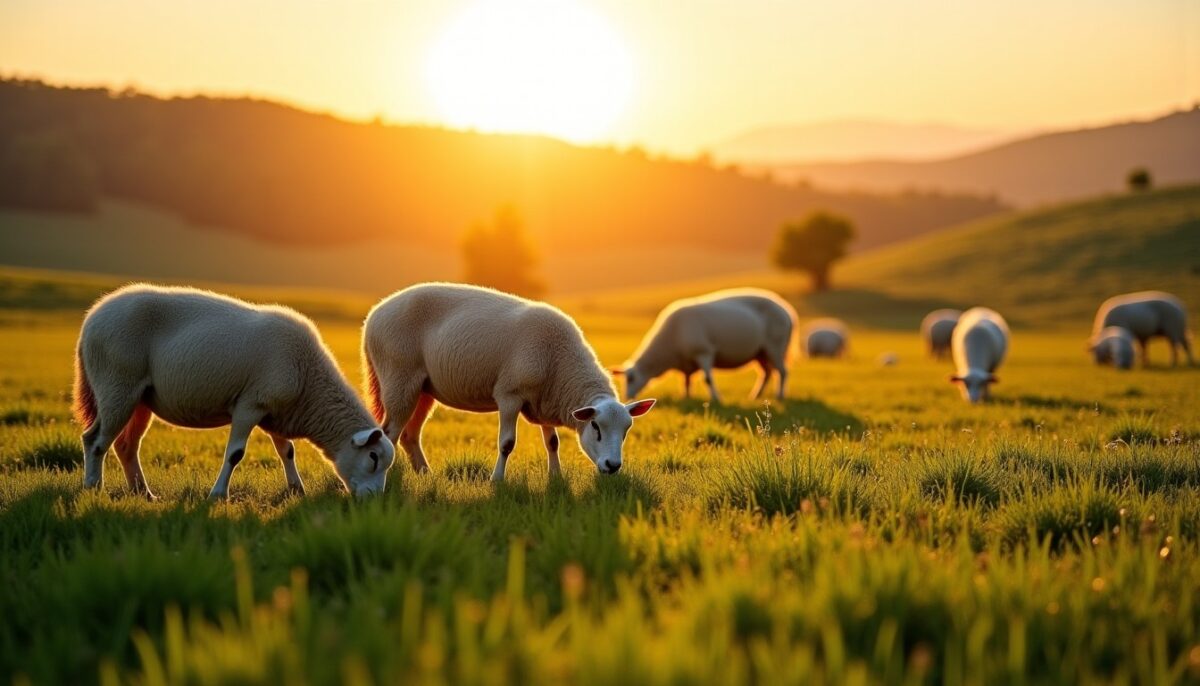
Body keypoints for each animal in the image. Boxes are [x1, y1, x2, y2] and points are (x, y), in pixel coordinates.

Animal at [73, 284, 395, 499]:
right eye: (373, 457)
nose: (374, 500)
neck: (309, 382)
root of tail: (91, 319)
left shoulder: (274, 409)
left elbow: (287, 451)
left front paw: (296, 489)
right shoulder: (249, 405)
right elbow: (236, 454)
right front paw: (218, 495)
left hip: (140, 399)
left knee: (126, 446)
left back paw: (144, 494)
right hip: (116, 384)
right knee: (95, 440)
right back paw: (93, 487)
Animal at [363, 283, 655, 481]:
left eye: (627, 429)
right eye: (595, 426)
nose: (613, 466)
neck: (560, 362)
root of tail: (373, 315)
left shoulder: (545, 399)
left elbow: (553, 443)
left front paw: (556, 477)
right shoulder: (510, 394)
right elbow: (507, 443)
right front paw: (497, 480)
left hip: (423, 389)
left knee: (409, 435)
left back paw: (425, 473)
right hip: (399, 377)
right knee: (390, 433)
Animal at [613, 288, 797, 404]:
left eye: (630, 378)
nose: (628, 398)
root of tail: (787, 311)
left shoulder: (703, 352)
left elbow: (707, 379)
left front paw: (716, 399)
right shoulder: (686, 363)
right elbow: (686, 382)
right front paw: (686, 398)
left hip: (776, 346)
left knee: (782, 372)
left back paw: (780, 396)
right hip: (760, 352)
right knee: (767, 373)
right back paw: (755, 397)